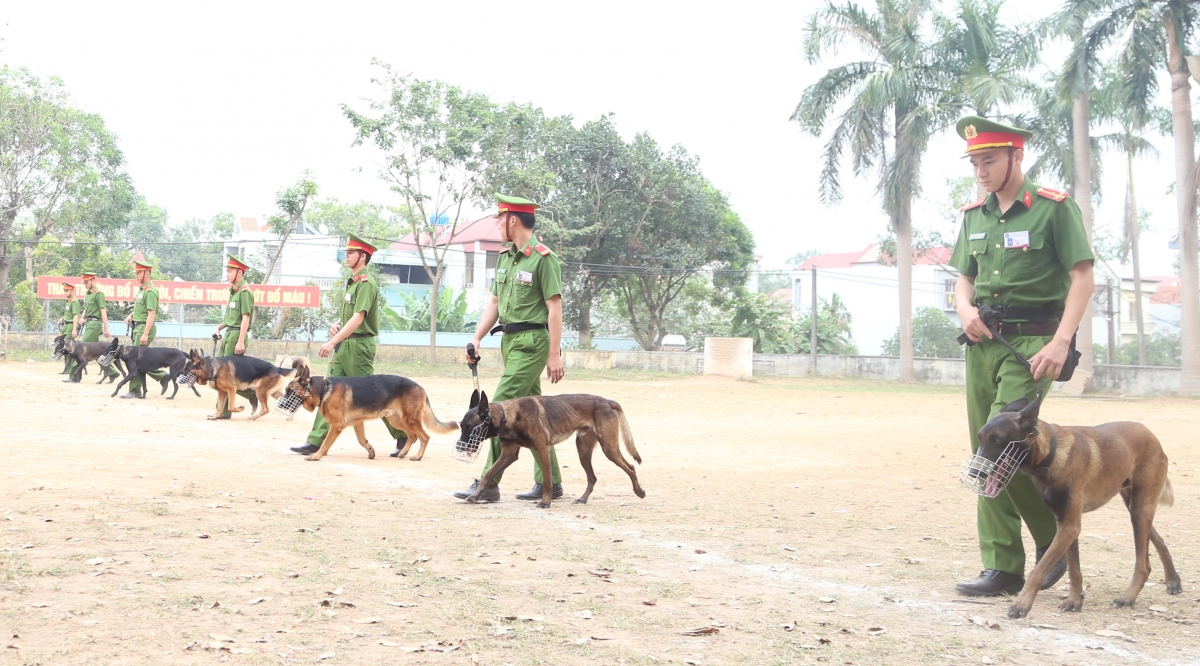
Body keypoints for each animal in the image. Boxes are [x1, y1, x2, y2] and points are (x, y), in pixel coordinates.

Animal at [280, 364, 458, 463]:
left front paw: (316, 456)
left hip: (410, 420)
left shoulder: (336, 426)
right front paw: (371, 451)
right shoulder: (358, 423)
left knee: (424, 437)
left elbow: (325, 444)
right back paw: (403, 452)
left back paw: (418, 456)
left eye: (290, 391)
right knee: (412, 435)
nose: (281, 404)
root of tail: (420, 387)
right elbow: (362, 440)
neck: (324, 390)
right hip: (396, 420)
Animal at [458, 391, 648, 511]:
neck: (509, 416)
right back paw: (583, 499)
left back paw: (639, 491)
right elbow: (488, 475)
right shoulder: (508, 455)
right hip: (583, 452)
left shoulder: (543, 450)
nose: (459, 446)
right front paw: (476, 496)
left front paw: (546, 502)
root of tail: (607, 401)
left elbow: (548, 481)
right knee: (592, 477)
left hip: (609, 449)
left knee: (630, 467)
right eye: (460, 426)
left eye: (470, 427)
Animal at [974, 391, 1180, 619]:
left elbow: (1039, 570)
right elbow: (1074, 570)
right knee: (1159, 541)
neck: (1050, 456)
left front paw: (1022, 604)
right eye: (980, 438)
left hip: (1139, 509)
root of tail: (1152, 435)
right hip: (1136, 507)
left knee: (1143, 564)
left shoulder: (1070, 526)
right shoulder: (1065, 525)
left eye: (997, 440)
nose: (974, 473)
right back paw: (1173, 580)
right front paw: (1074, 600)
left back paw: (1128, 598)